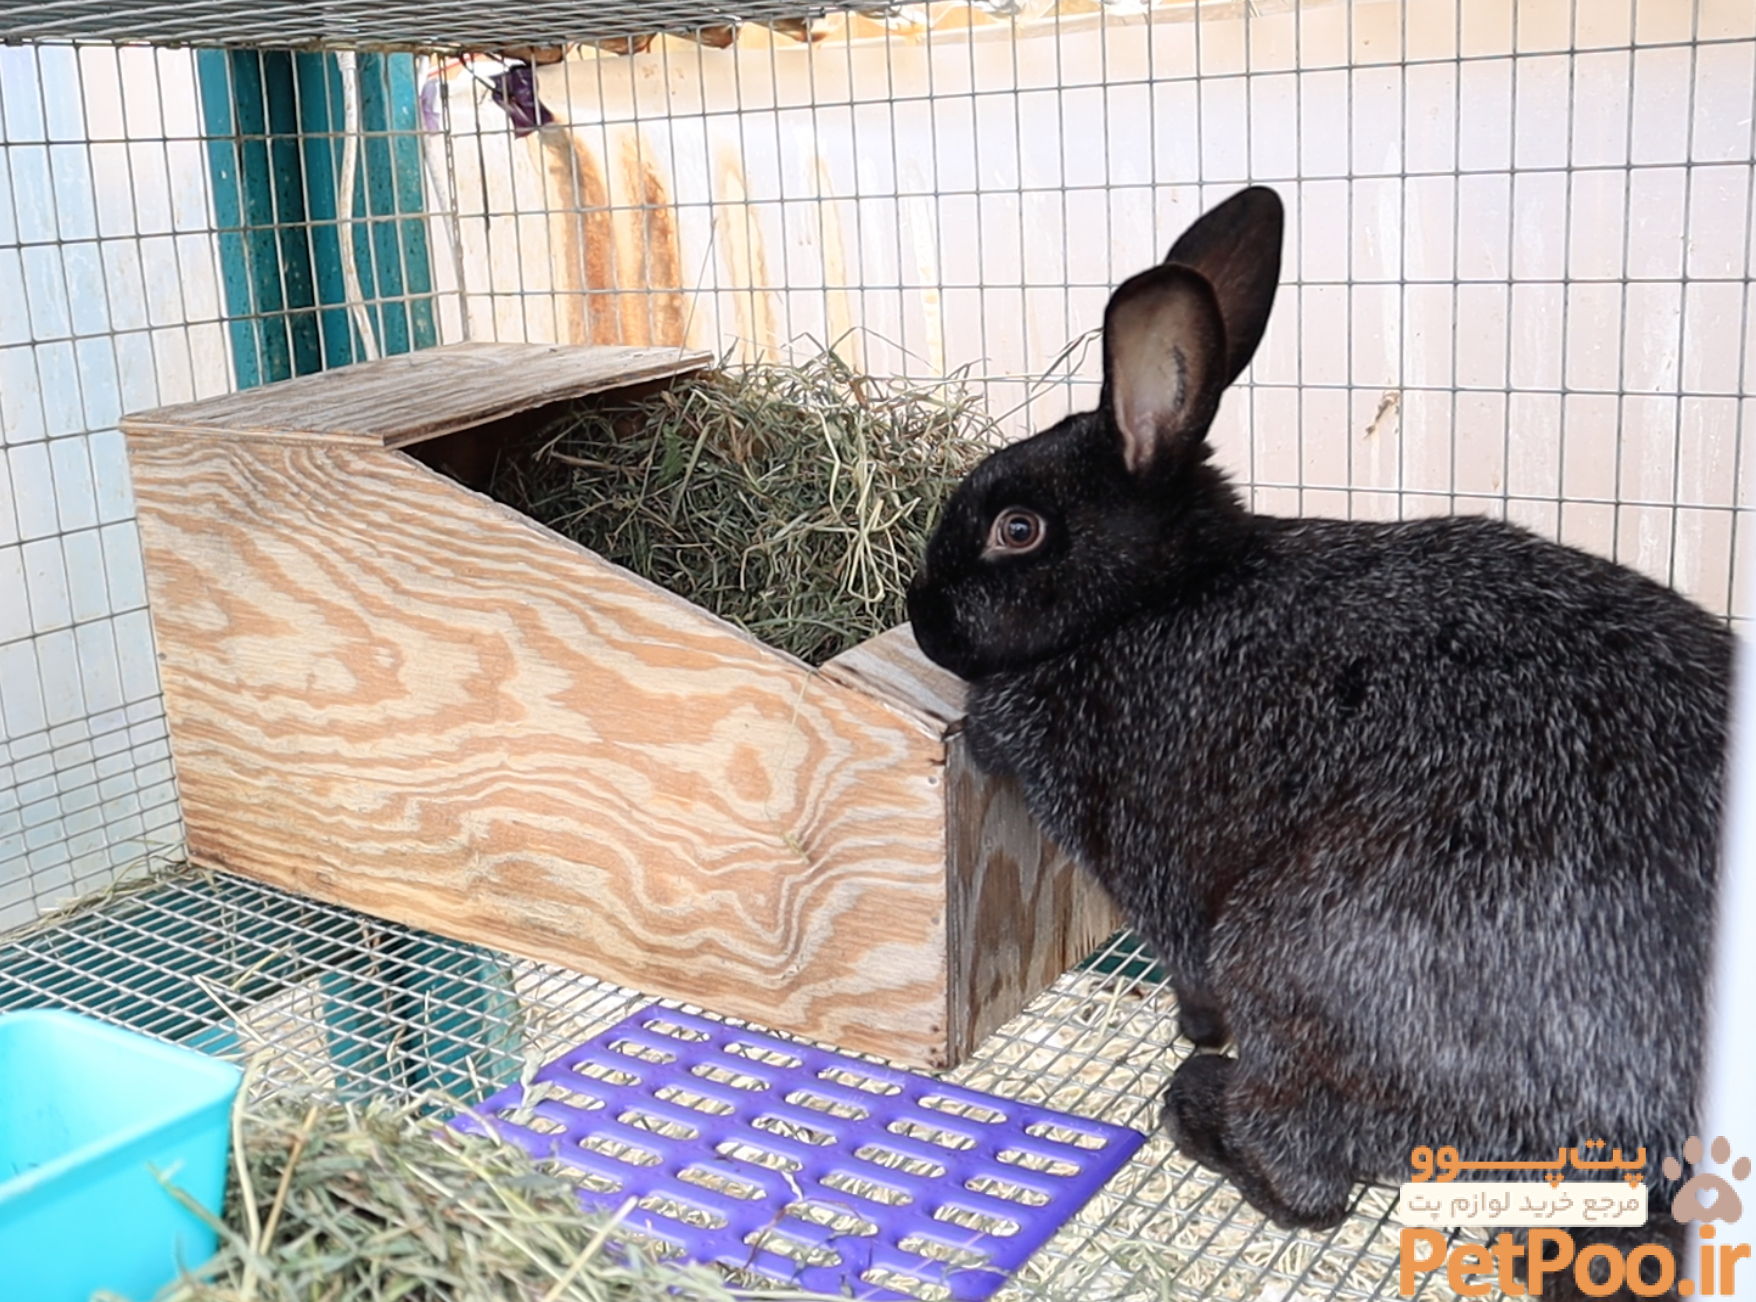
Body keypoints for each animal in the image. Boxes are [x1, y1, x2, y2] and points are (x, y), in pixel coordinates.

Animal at [907, 186, 1731, 1292]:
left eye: (1018, 530)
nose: (920, 617)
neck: (1156, 599)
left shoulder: (1159, 871)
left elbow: (1188, 968)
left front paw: (1191, 1029)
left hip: (1296, 958)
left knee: (1310, 1181)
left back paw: (1198, 1108)